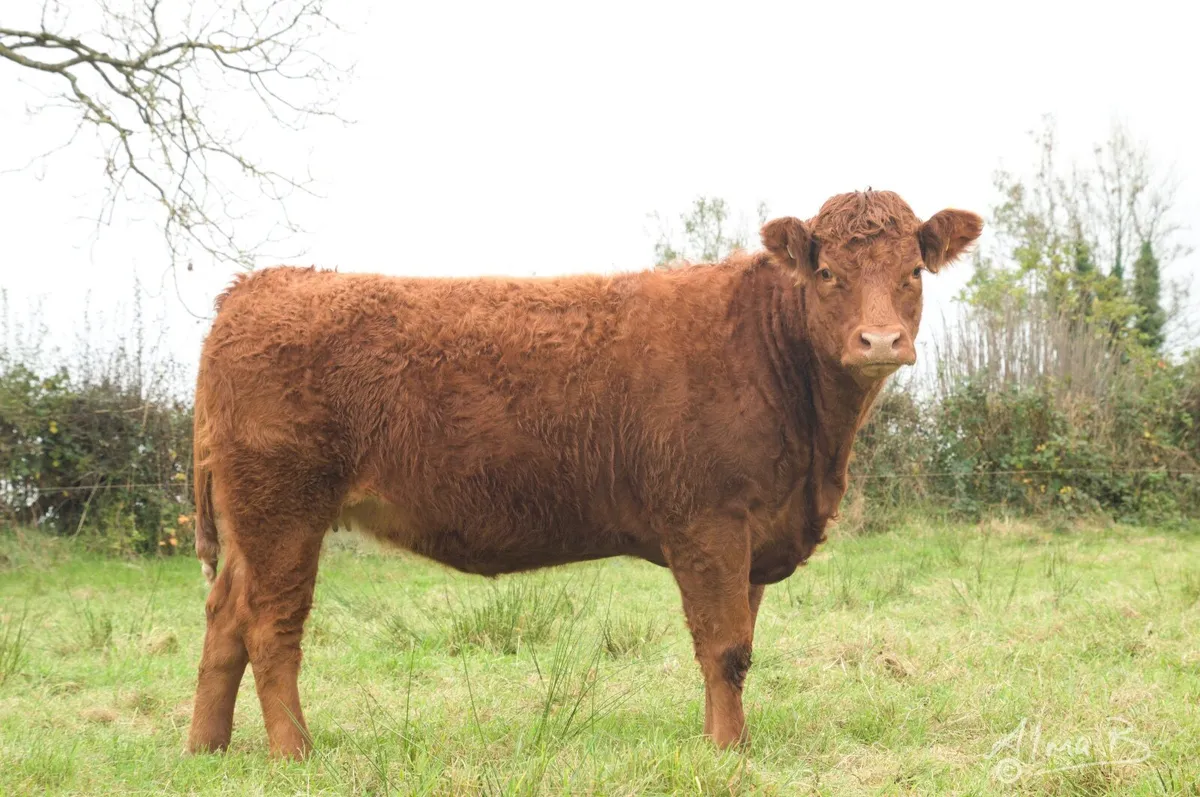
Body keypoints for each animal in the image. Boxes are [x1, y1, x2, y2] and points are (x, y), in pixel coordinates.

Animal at [187, 190, 982, 758]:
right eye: (826, 272)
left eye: (913, 272)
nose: (880, 340)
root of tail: (255, 288)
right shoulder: (709, 522)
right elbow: (725, 647)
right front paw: (730, 752)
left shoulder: (756, 529)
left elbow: (736, 646)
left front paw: (720, 740)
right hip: (284, 512)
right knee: (270, 627)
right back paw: (294, 753)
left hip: (250, 523)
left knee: (224, 617)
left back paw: (207, 749)